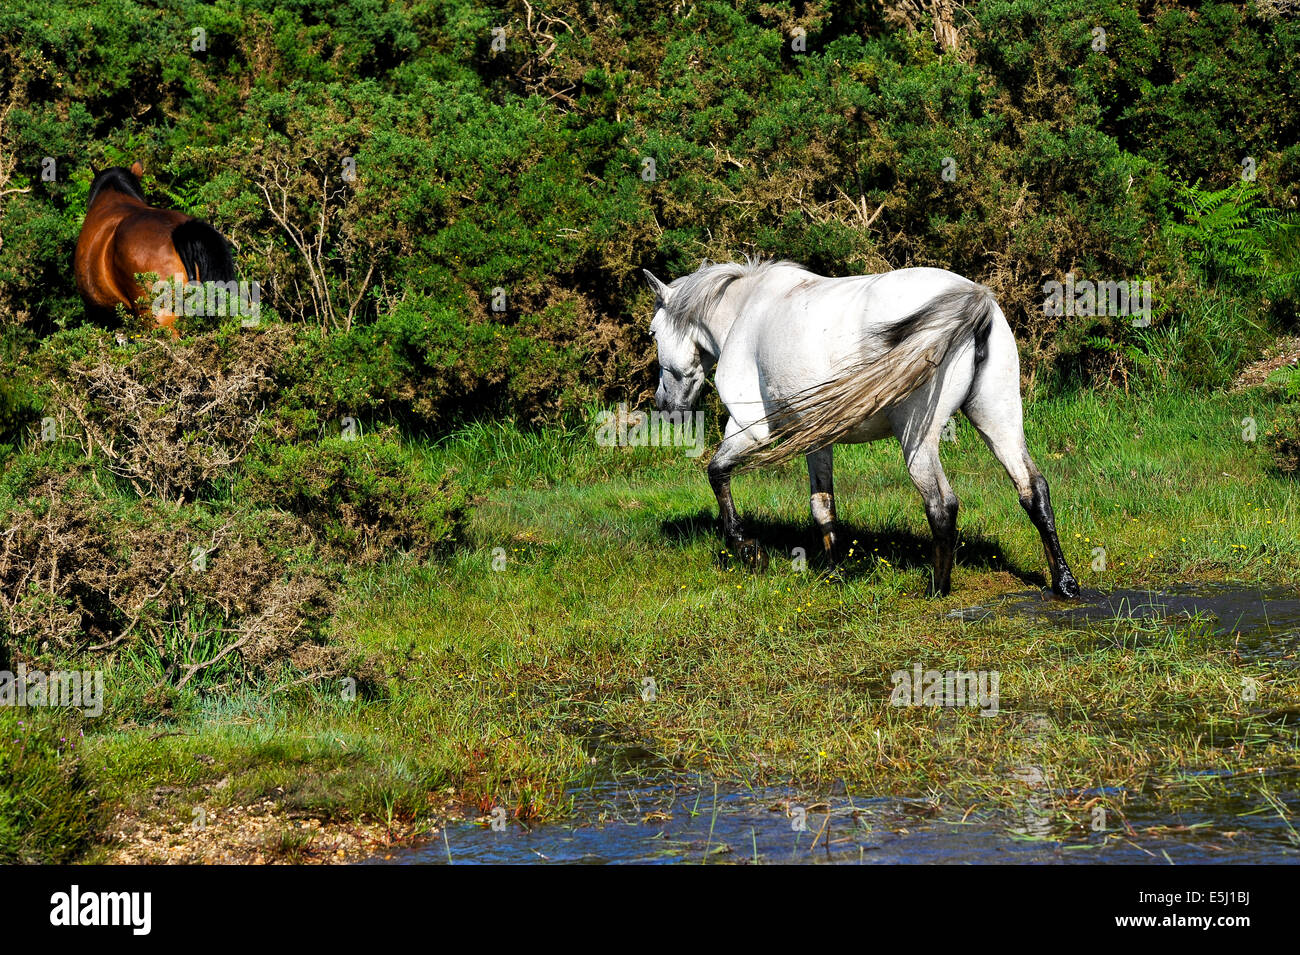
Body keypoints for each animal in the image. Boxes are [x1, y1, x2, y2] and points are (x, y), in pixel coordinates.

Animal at [643, 257, 1080, 599]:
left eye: (652, 333)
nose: (665, 406)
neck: (747, 311)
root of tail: (972, 298)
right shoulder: (816, 437)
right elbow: (822, 505)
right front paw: (836, 569)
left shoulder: (751, 429)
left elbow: (717, 471)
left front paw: (747, 549)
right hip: (998, 419)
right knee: (1033, 489)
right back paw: (1064, 583)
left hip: (919, 439)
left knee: (942, 504)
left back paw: (937, 589)